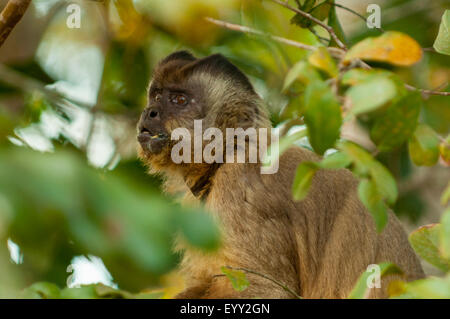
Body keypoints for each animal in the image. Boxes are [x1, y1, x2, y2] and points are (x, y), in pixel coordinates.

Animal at [137, 50, 426, 300]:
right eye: (156, 96)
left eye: (179, 101)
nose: (149, 111)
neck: (228, 152)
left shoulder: (239, 187)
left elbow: (265, 289)